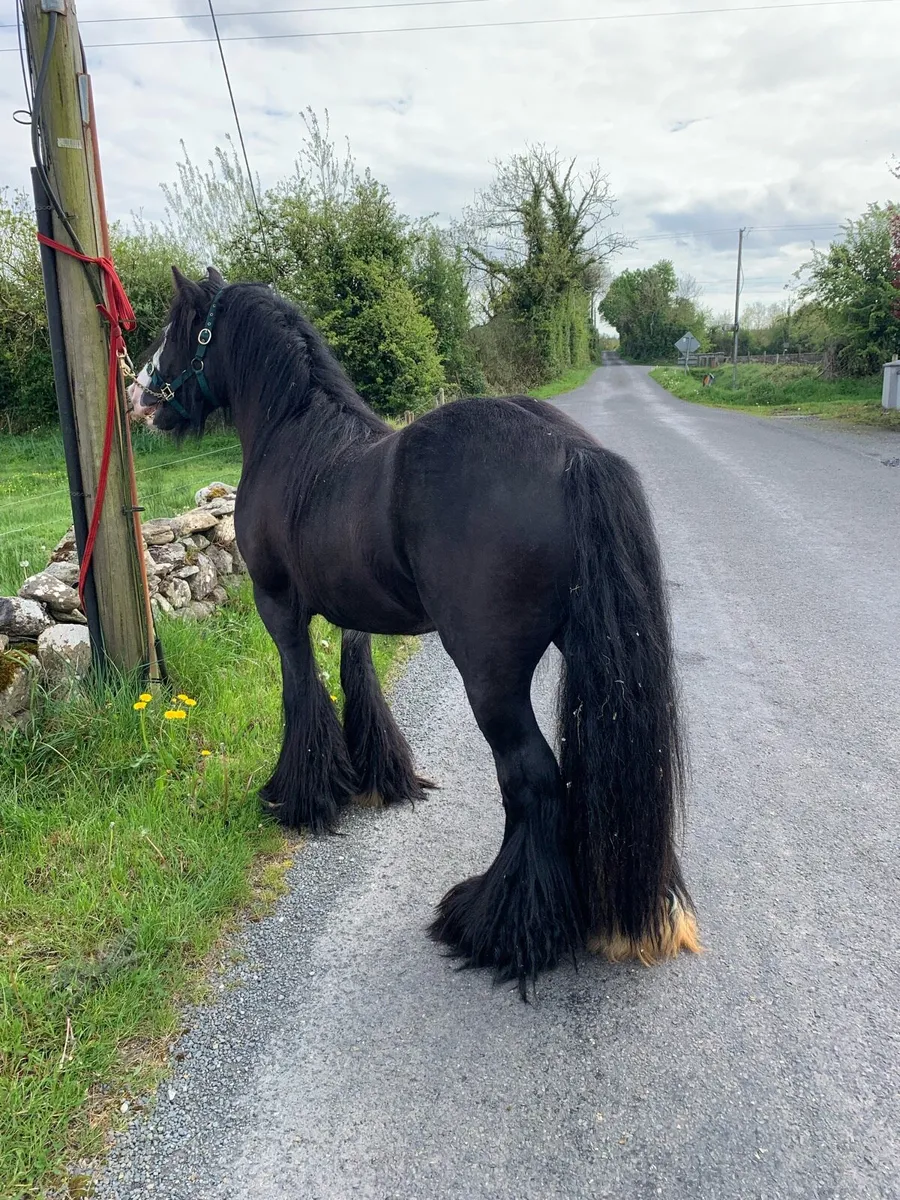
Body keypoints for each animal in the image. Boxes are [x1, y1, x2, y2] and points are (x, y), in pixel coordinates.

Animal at [131, 266, 700, 993]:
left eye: (176, 325)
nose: (141, 395)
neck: (295, 439)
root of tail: (571, 453)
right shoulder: (354, 616)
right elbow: (359, 680)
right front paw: (379, 776)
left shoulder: (278, 608)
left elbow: (301, 694)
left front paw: (302, 797)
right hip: (592, 657)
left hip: (491, 678)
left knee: (532, 778)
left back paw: (496, 925)